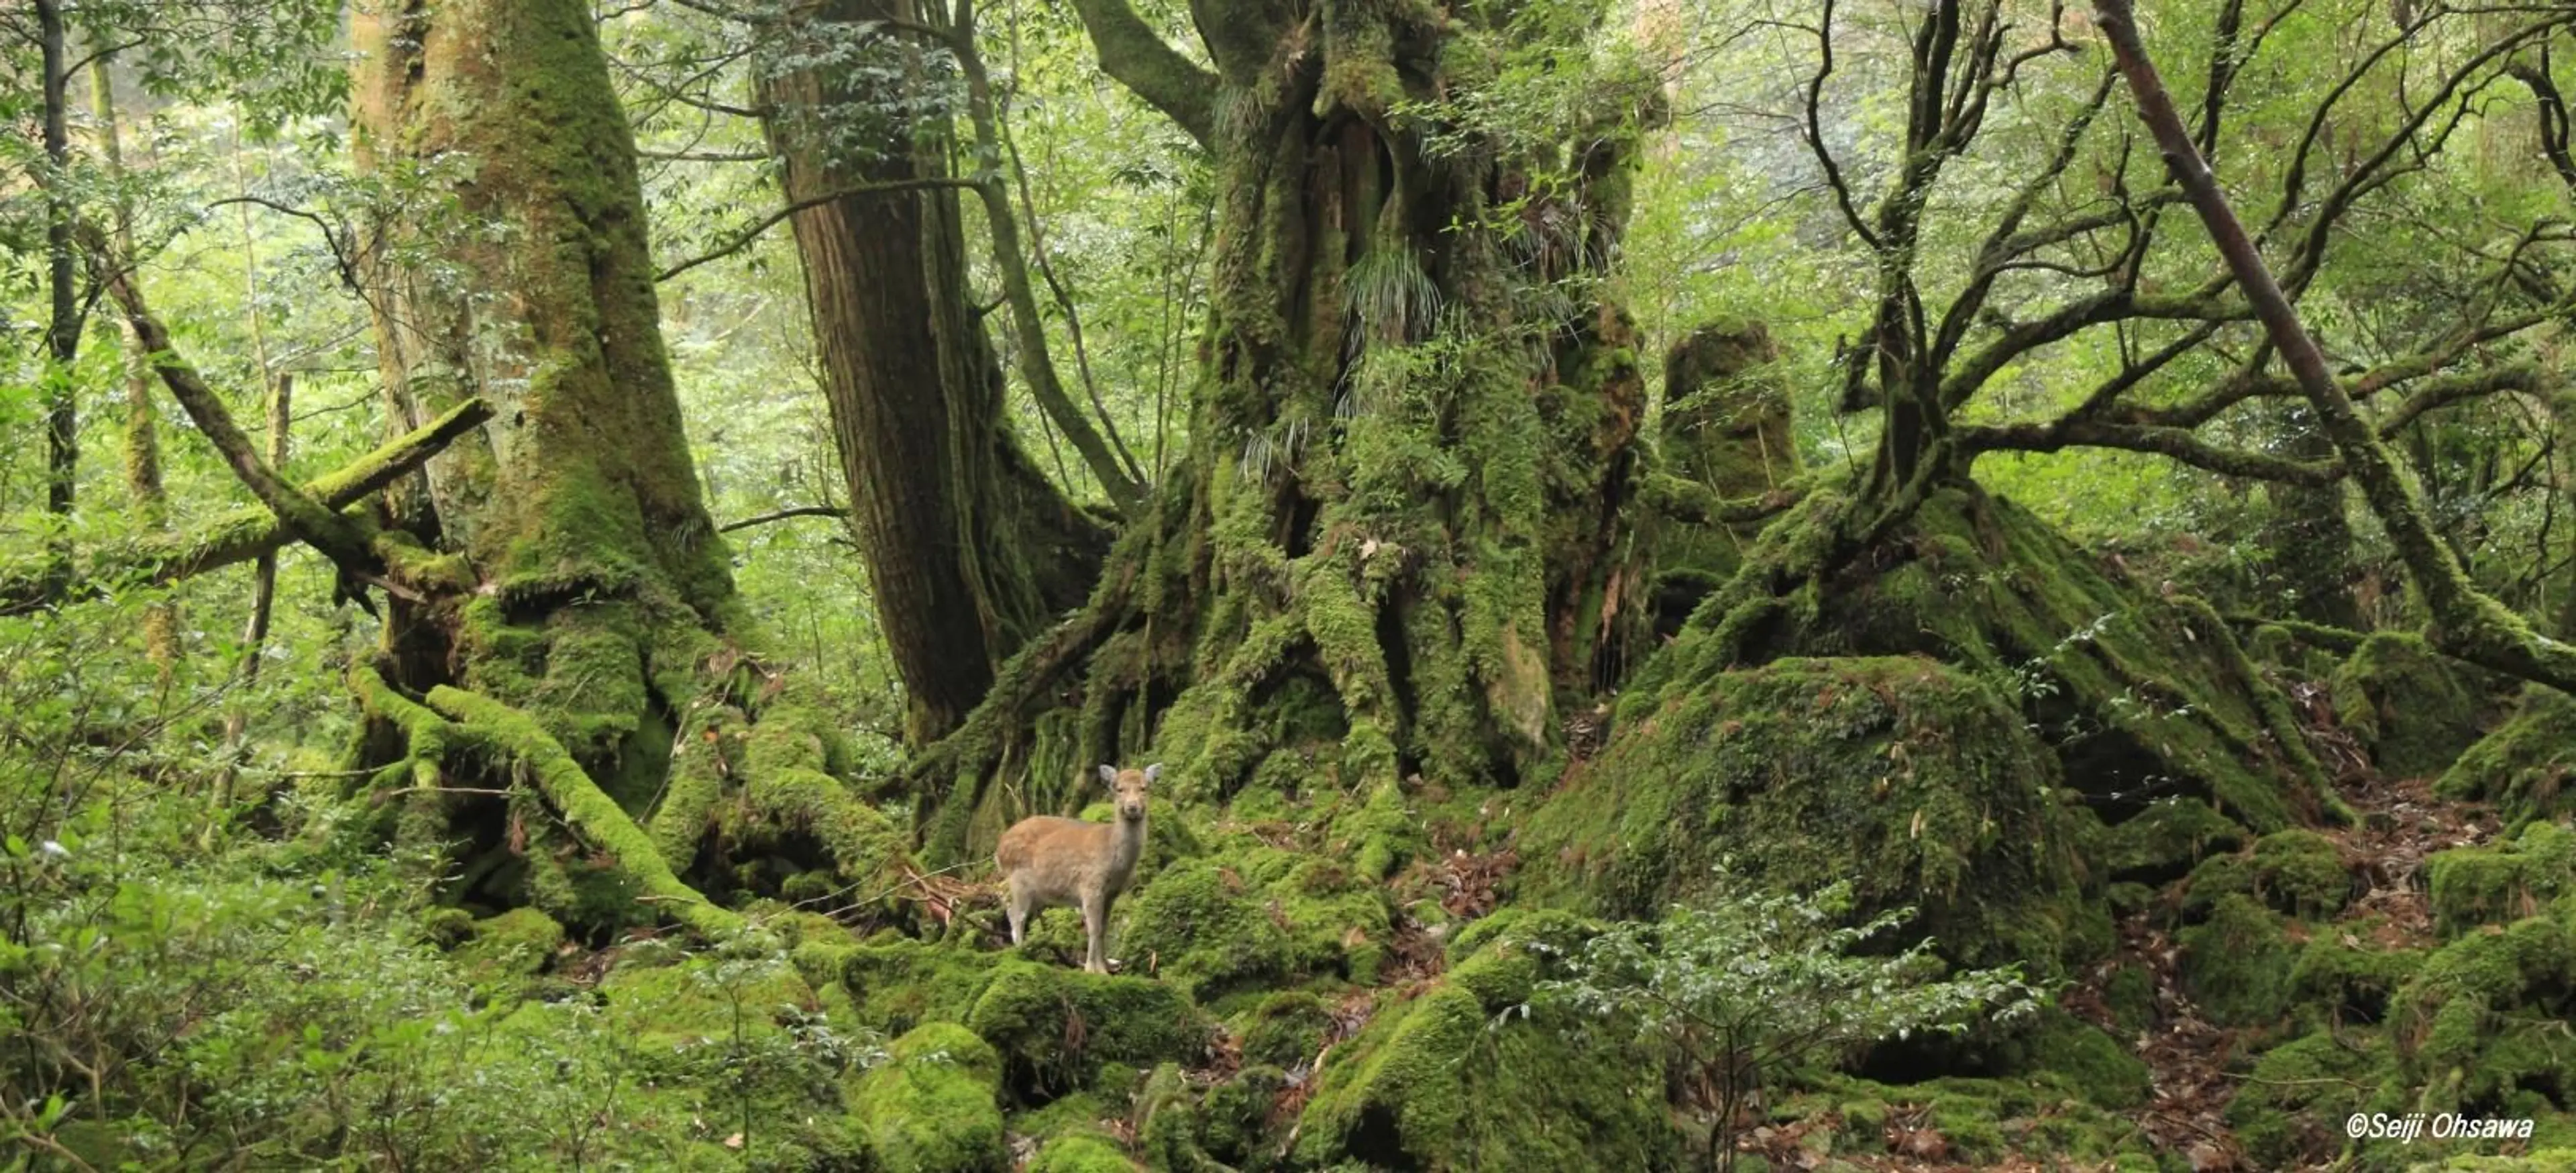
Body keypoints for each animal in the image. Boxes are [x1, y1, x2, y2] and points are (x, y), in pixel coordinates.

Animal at [983, 763, 1159, 974]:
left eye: (1144, 788)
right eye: (1119, 789)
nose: (1132, 807)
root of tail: (998, 849)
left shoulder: (1112, 893)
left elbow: (1104, 928)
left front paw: (1107, 967)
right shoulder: (1090, 885)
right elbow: (1093, 928)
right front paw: (1093, 969)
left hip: (1036, 891)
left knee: (1014, 912)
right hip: (1018, 880)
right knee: (1016, 915)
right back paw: (1021, 953)